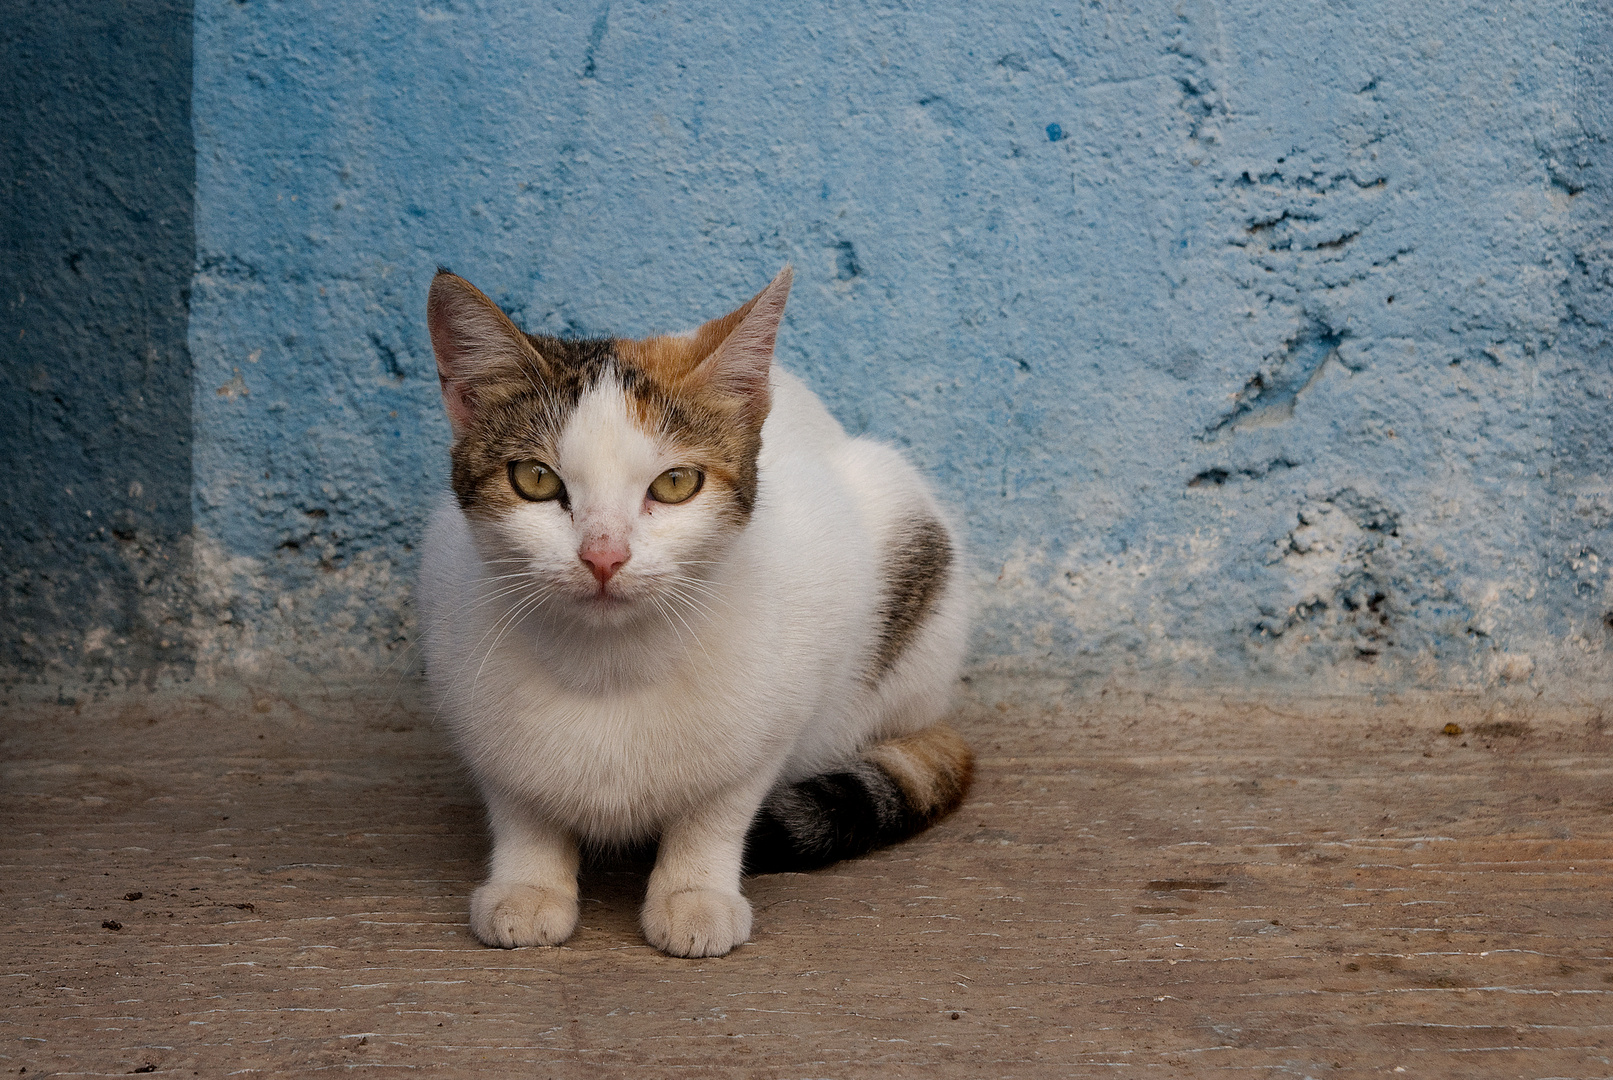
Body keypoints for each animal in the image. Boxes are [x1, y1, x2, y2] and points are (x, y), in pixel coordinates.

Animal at [416, 265, 967, 960]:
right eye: (535, 480)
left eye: (675, 484)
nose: (604, 555)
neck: (609, 667)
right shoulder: (464, 679)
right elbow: (520, 802)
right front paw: (530, 883)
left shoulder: (784, 699)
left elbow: (719, 807)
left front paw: (693, 892)